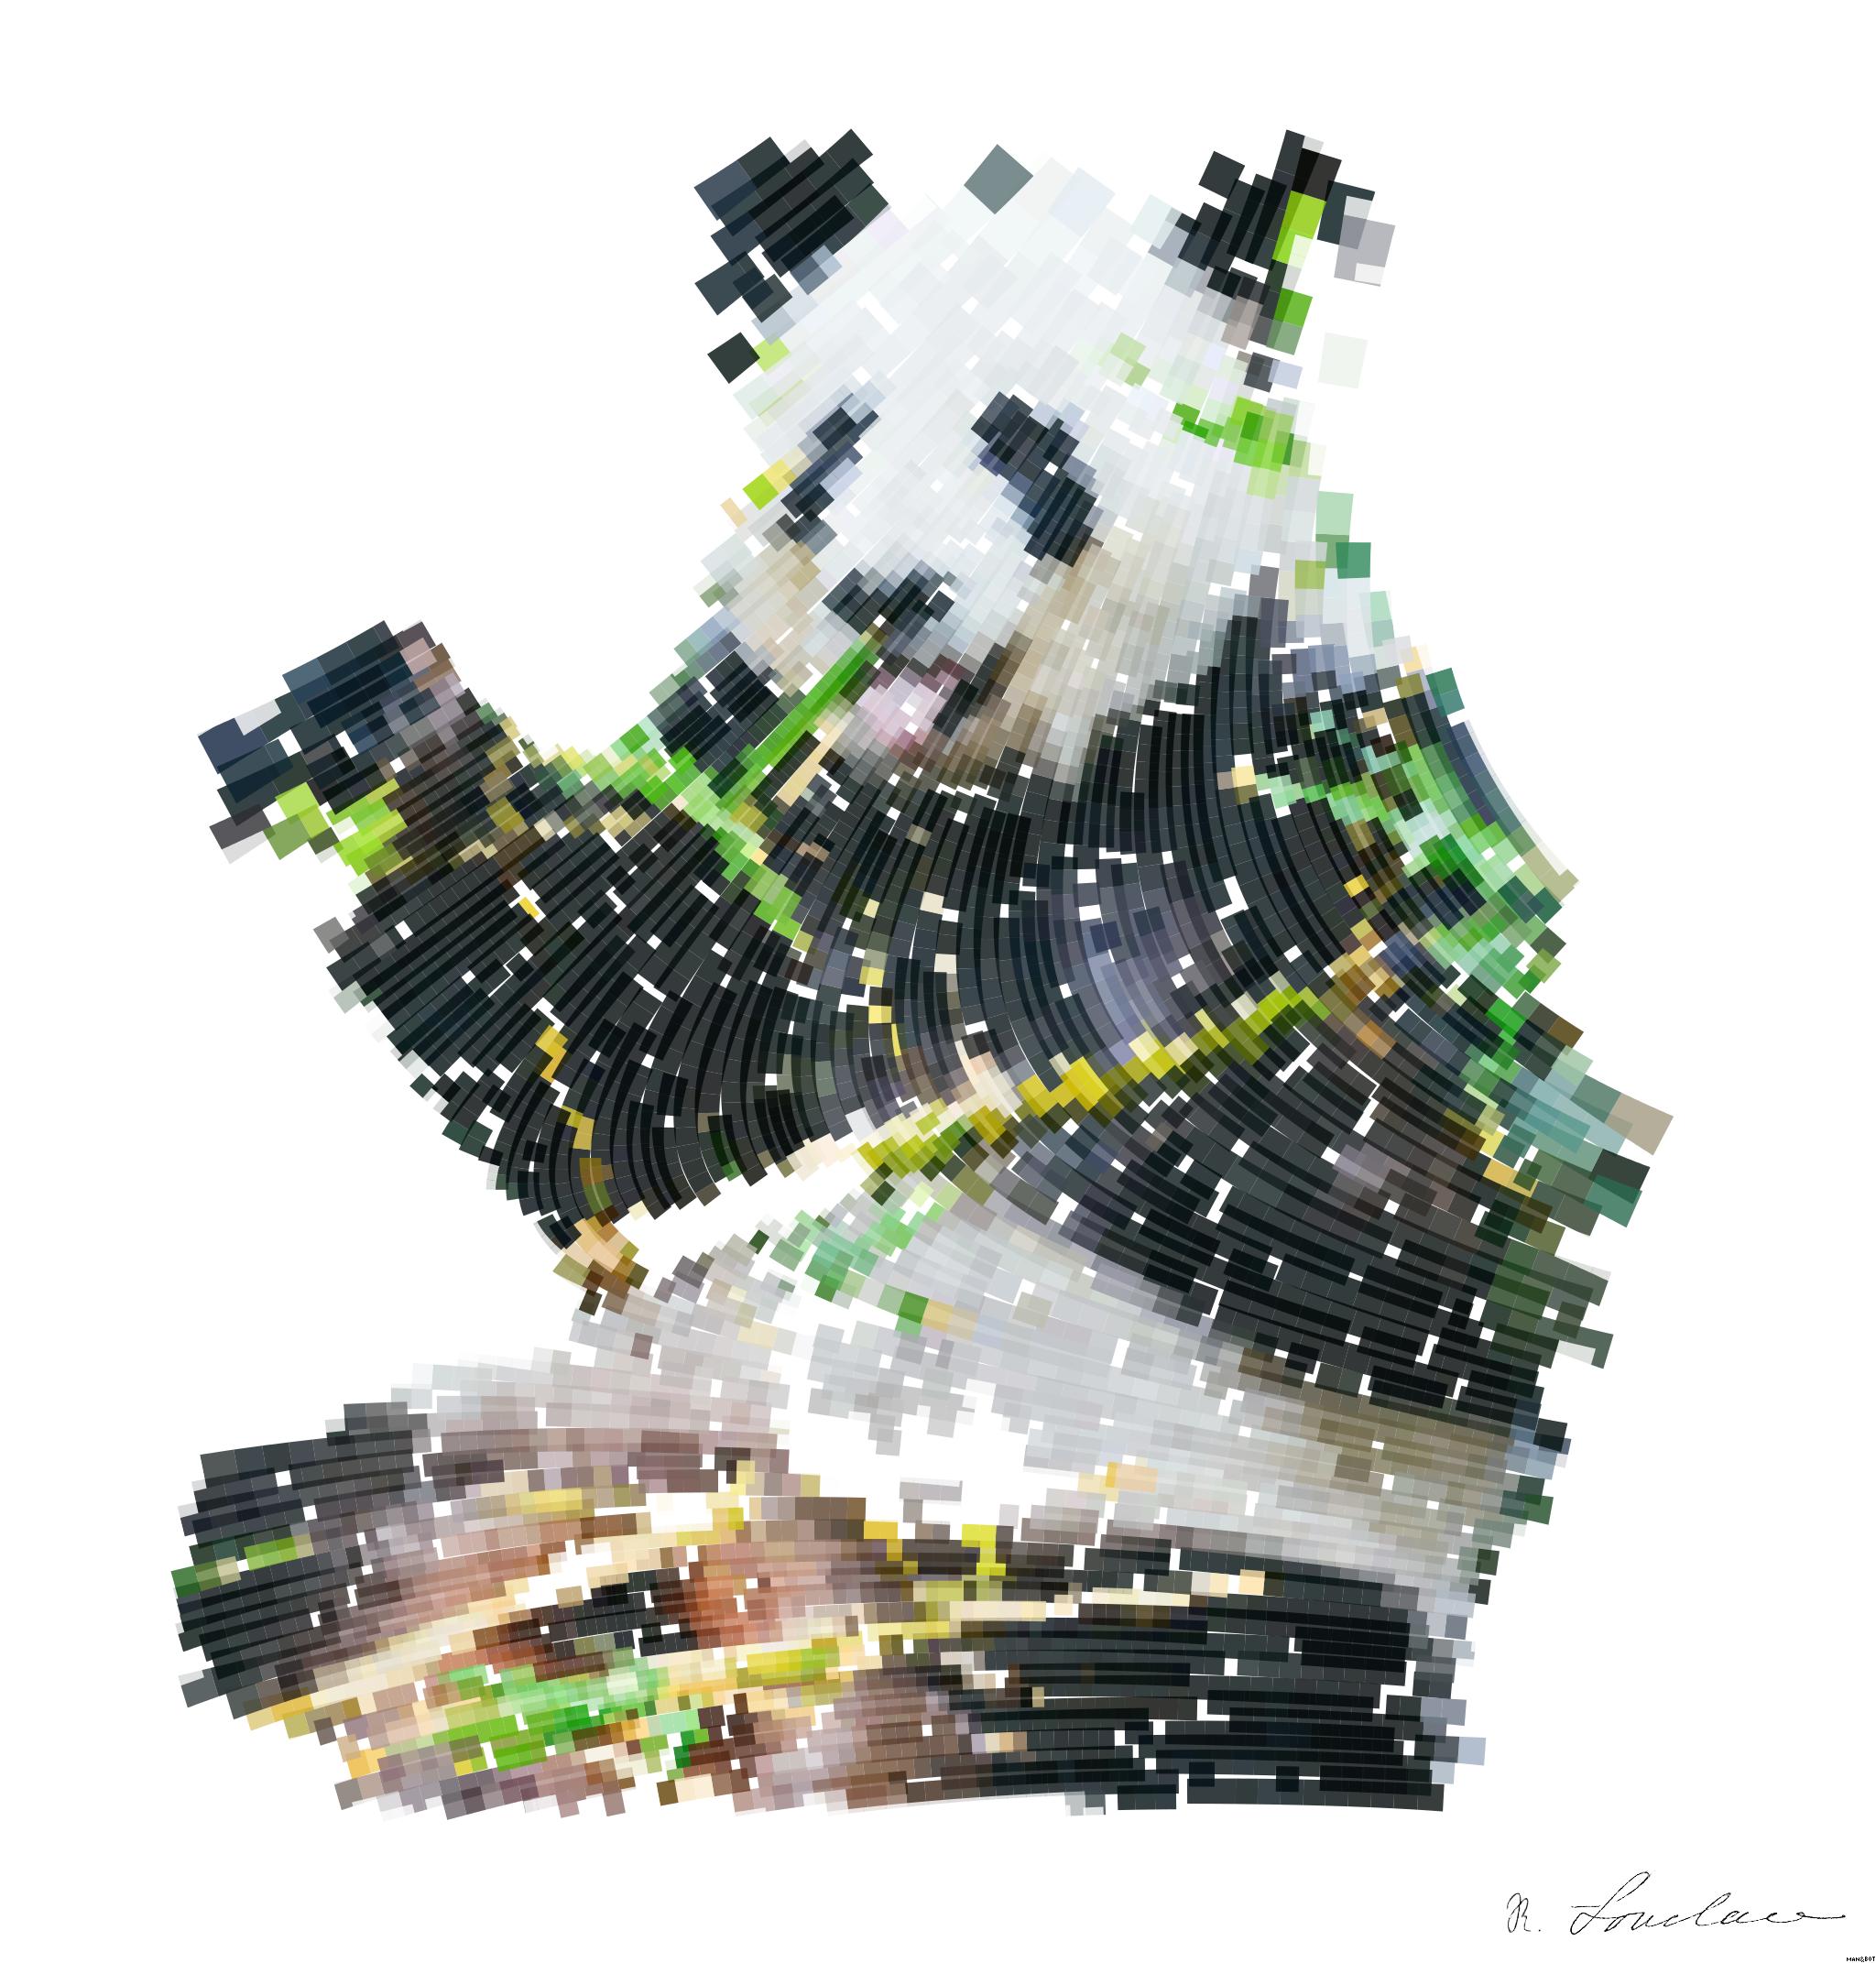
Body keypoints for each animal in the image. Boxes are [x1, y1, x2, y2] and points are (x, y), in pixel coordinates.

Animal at [181, 129, 1665, 1817]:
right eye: (839, 437)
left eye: (1022, 441)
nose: (884, 598)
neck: (972, 785)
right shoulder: (775, 795)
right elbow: (598, 1098)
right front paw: (378, 724)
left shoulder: (1287, 782)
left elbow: (1433, 1241)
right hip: (534, 1438)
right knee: (302, 1529)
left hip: (1209, 1560)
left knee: (1197, 1677)